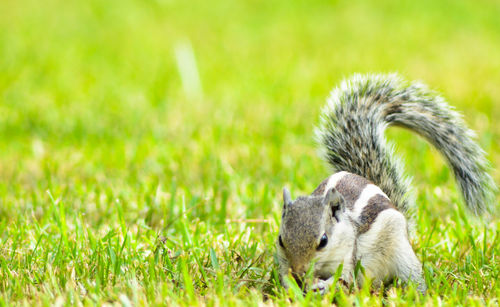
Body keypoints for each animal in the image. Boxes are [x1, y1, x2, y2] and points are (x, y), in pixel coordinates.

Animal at [278, 73, 496, 296]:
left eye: (323, 241)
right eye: (280, 240)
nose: (299, 271)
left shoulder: (349, 255)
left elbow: (344, 279)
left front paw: (321, 286)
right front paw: (290, 286)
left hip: (400, 250)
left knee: (410, 274)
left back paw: (419, 293)